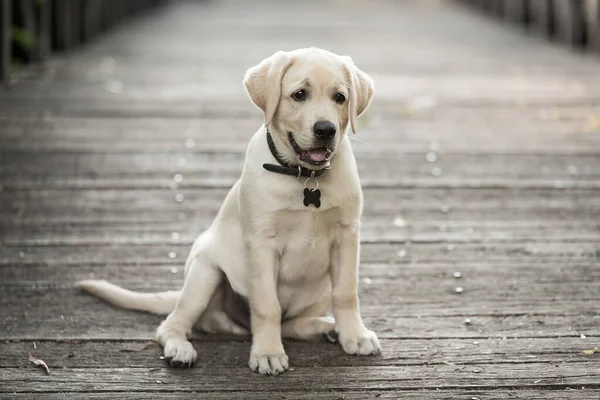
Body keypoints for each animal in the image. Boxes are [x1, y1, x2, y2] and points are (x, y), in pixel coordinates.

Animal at [77, 47, 380, 376]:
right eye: (299, 94)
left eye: (340, 97)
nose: (326, 129)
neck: (305, 177)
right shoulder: (261, 244)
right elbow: (266, 306)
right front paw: (268, 353)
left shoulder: (347, 236)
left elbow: (346, 293)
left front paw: (355, 336)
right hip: (204, 272)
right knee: (172, 324)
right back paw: (180, 349)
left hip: (319, 286)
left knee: (289, 321)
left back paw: (324, 327)